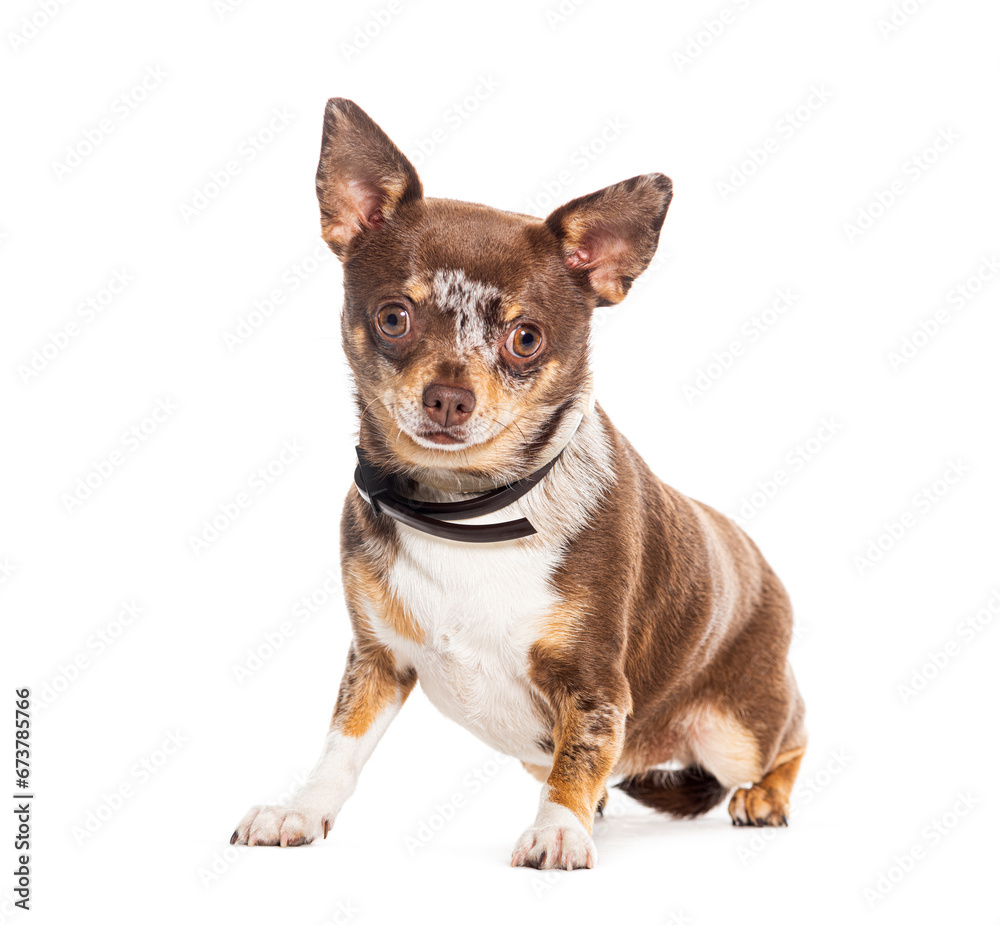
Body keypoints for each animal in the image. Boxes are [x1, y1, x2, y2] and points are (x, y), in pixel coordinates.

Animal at [232, 99, 804, 868]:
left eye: (525, 338)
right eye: (393, 318)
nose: (448, 397)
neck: (464, 509)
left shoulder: (592, 687)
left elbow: (578, 756)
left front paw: (558, 829)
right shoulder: (377, 662)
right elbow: (340, 747)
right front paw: (301, 809)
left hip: (736, 730)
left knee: (790, 736)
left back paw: (764, 796)